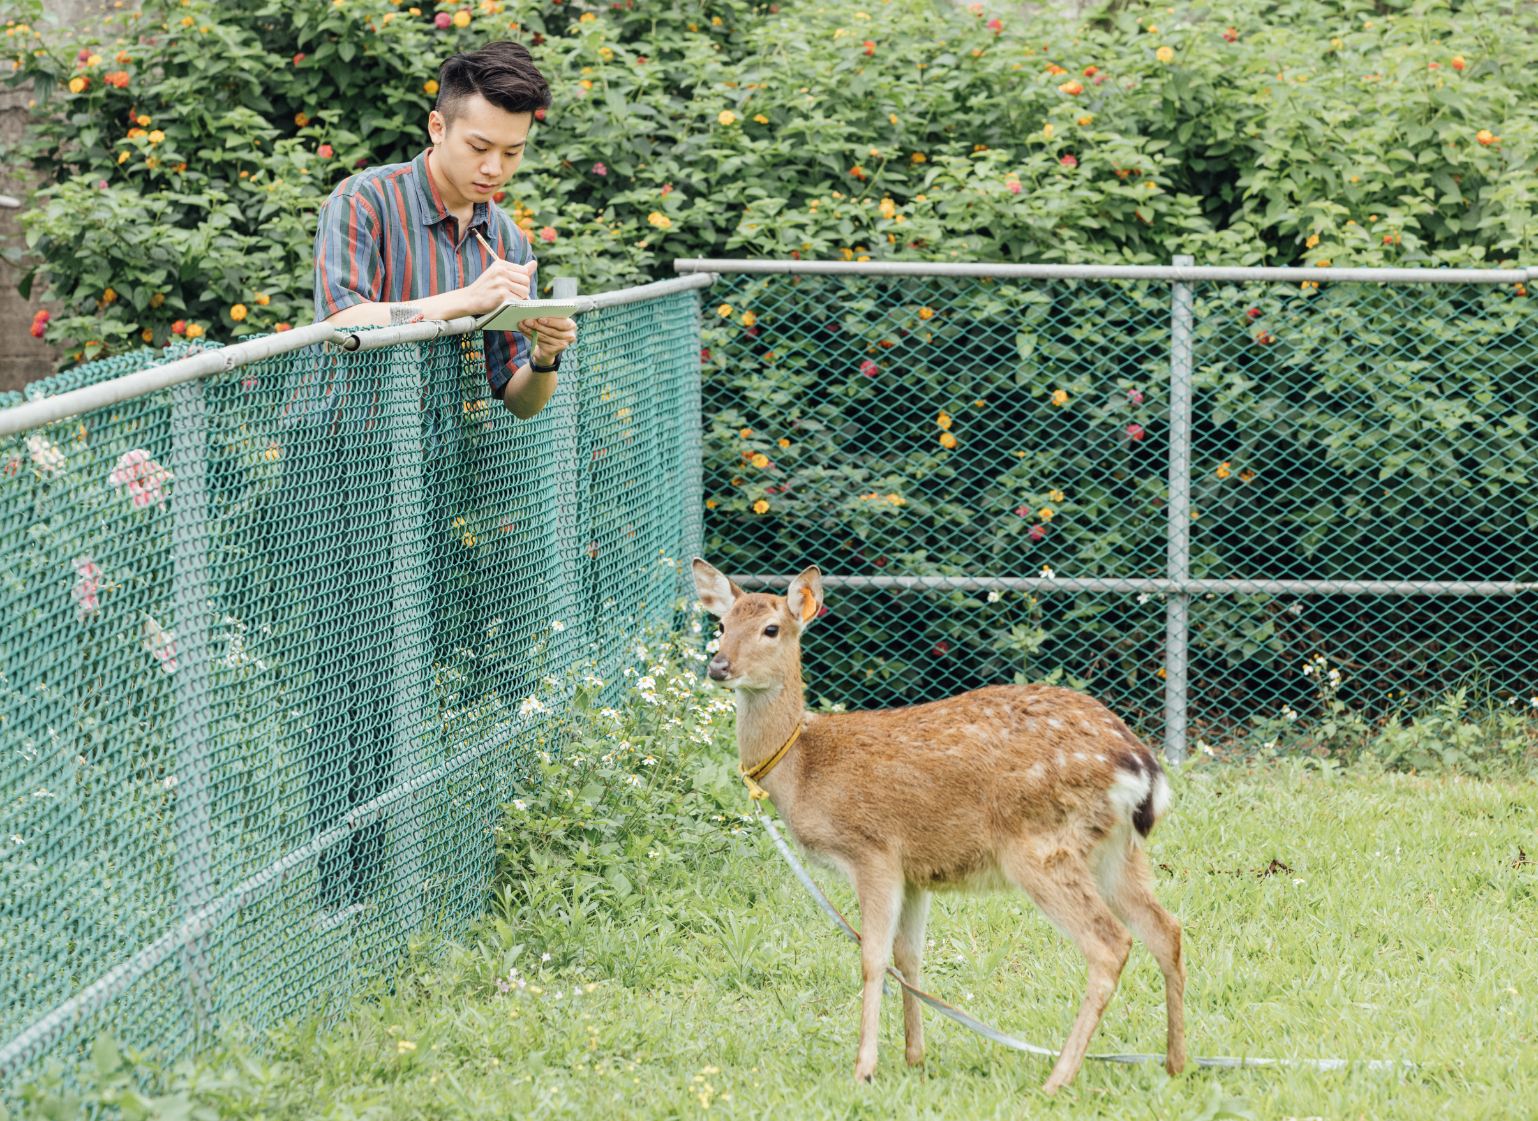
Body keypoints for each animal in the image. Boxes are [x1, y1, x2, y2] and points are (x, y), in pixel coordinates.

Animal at [690, 558, 1186, 1094]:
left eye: (771, 628)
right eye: (721, 625)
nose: (718, 666)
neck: (801, 771)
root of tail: (1140, 765)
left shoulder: (873, 851)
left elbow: (872, 957)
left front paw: (865, 1068)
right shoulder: (915, 872)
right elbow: (909, 956)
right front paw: (914, 1057)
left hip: (1039, 844)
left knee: (1110, 944)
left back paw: (1058, 1079)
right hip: (1115, 851)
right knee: (1167, 929)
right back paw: (1176, 1063)